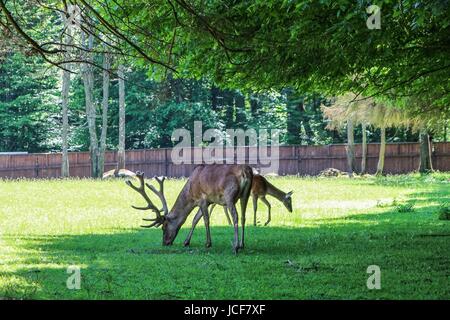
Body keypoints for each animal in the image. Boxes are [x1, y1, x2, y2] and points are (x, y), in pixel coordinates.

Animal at [125, 165, 253, 252]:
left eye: (164, 227)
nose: (165, 243)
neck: (190, 193)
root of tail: (246, 171)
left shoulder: (202, 199)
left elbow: (205, 220)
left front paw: (208, 243)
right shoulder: (208, 201)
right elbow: (195, 219)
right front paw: (186, 242)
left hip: (229, 195)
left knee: (235, 216)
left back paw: (235, 246)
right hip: (245, 194)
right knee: (243, 217)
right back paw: (242, 244)